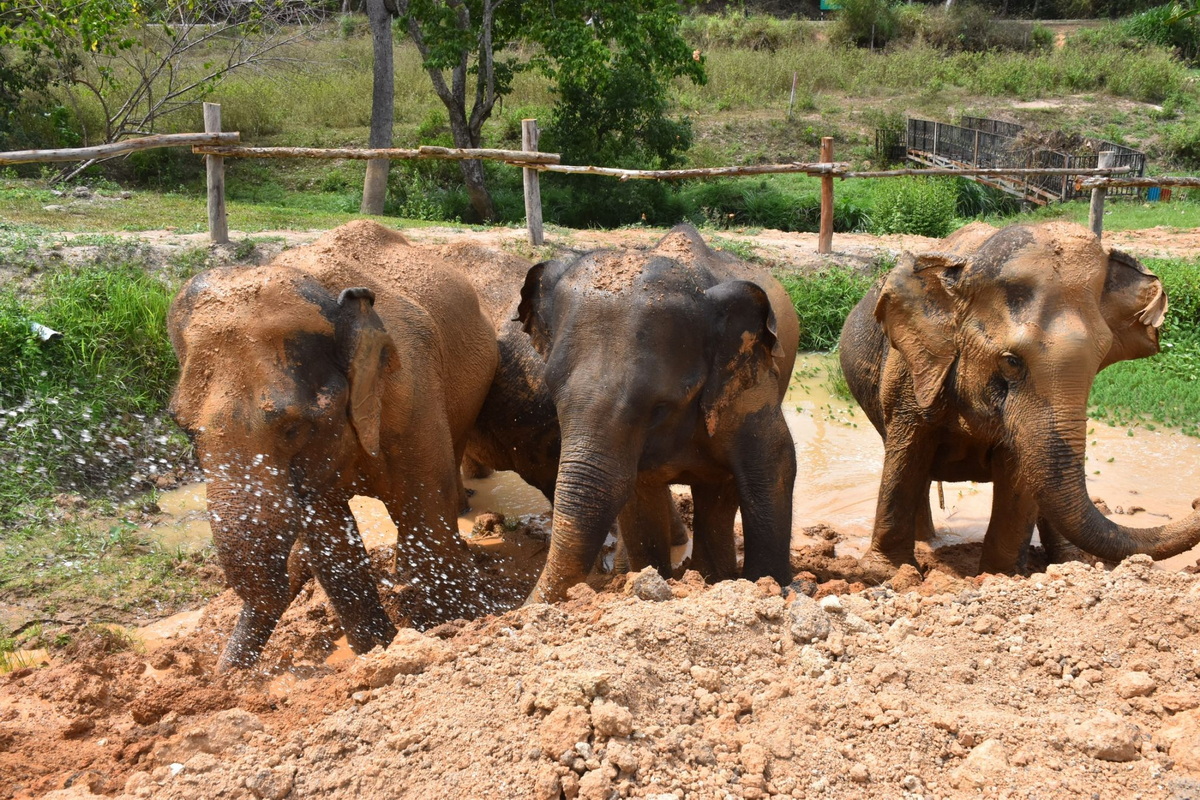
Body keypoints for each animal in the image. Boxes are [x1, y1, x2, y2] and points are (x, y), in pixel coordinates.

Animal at [168, 220, 496, 671]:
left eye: (292, 428)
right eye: (184, 429)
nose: (223, 677)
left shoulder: (411, 393)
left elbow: (425, 517)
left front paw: (454, 627)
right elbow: (329, 538)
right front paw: (378, 649)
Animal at [513, 224, 796, 599]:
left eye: (660, 407)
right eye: (552, 389)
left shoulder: (750, 382)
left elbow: (773, 463)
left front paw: (767, 585)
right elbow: (639, 492)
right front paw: (650, 580)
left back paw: (711, 576)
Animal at [840, 221, 1200, 578]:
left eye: (1098, 365)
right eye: (1012, 361)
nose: (1194, 501)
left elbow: (1019, 478)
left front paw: (997, 576)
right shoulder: (911, 368)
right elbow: (907, 454)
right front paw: (887, 573)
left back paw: (1071, 563)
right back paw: (930, 543)